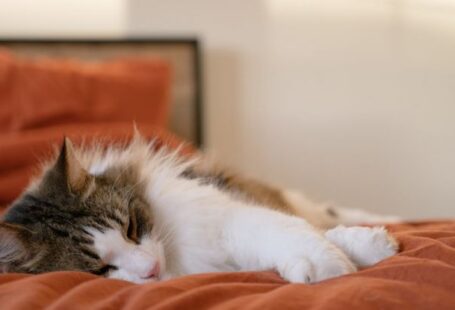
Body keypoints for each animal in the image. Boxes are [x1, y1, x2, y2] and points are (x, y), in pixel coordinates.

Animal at [0, 136, 400, 284]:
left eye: (131, 228)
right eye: (101, 269)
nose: (152, 268)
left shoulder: (227, 216)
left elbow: (295, 231)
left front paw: (365, 249)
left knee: (326, 210)